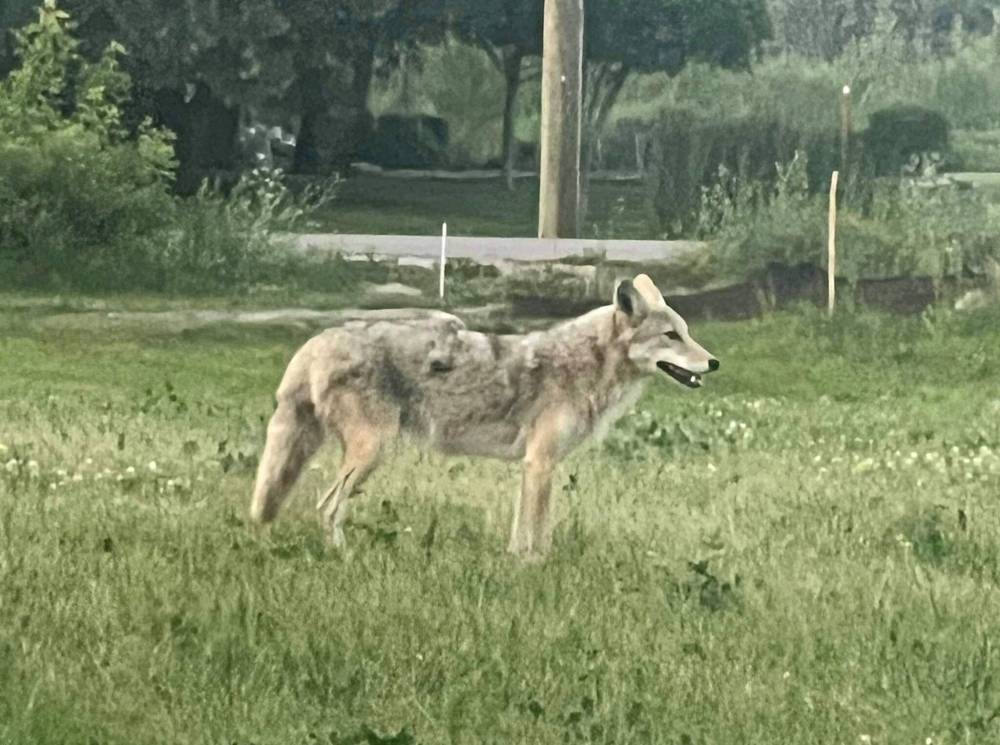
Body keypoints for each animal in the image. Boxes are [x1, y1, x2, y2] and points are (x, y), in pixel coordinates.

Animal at [249, 274, 719, 559]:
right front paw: (536, 567)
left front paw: (517, 563)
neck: (584, 365)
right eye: (671, 336)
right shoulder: (541, 464)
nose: (714, 362)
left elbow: (522, 530)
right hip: (370, 454)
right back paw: (346, 558)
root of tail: (319, 338)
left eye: (687, 332)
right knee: (326, 507)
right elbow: (538, 532)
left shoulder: (532, 467)